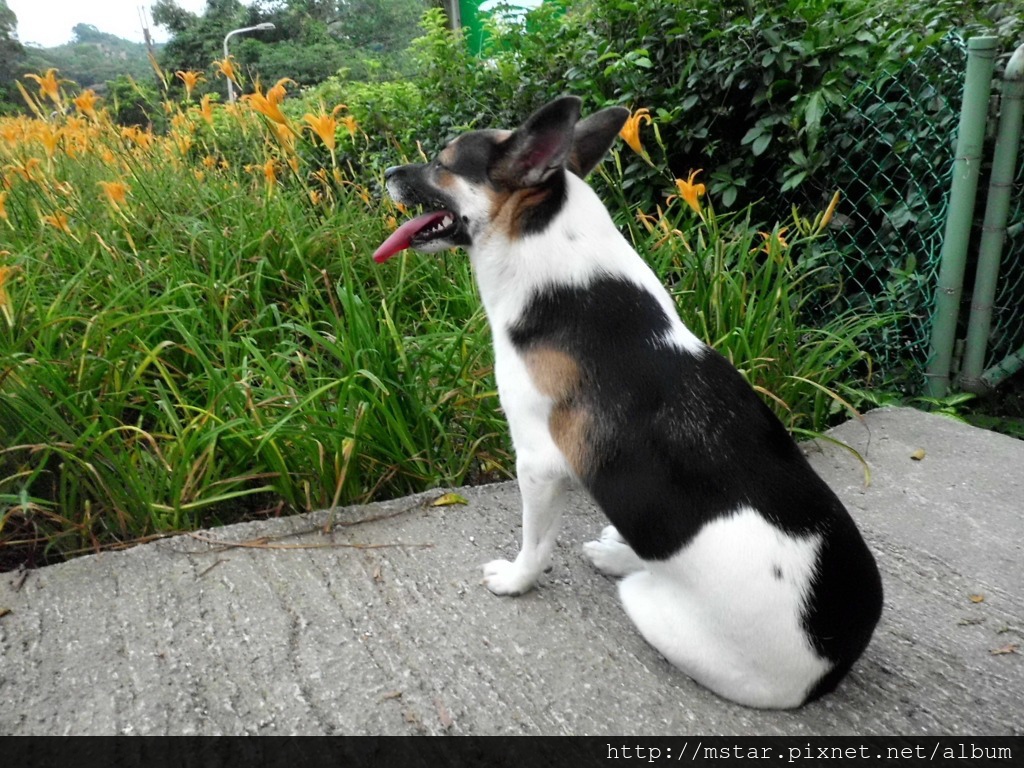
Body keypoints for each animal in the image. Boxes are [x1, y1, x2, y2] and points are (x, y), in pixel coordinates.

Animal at [374, 96, 880, 708]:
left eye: (443, 163)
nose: (387, 172)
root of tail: (831, 666)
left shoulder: (538, 465)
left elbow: (535, 546)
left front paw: (516, 582)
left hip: (646, 604)